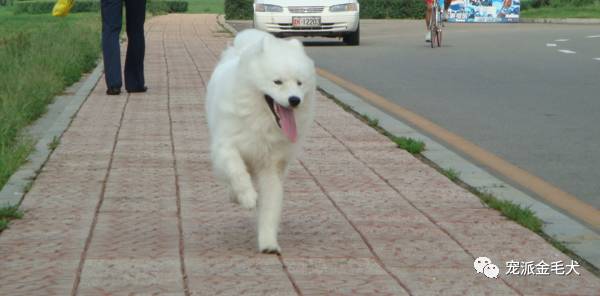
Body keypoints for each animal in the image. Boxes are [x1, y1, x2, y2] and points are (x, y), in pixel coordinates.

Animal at [206, 28, 316, 253]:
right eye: (277, 82)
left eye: (299, 83)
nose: (295, 100)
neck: (261, 121)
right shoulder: (226, 146)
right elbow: (236, 170)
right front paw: (248, 197)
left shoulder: (271, 167)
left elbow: (270, 207)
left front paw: (268, 243)